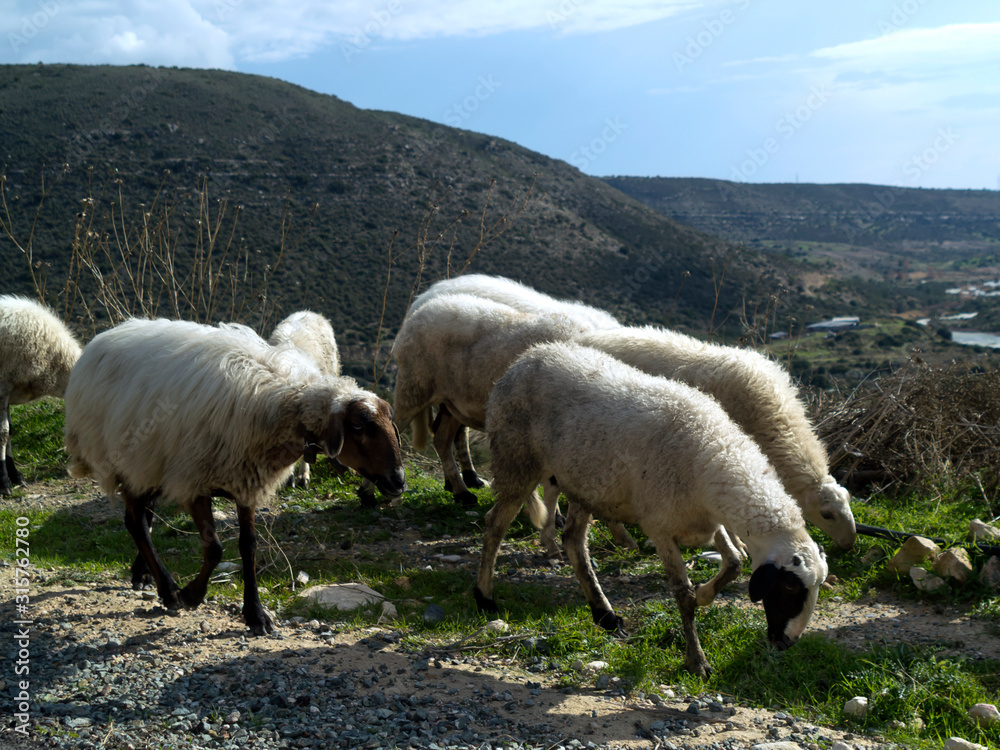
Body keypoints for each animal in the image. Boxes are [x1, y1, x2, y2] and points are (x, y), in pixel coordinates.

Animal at [475, 342, 828, 677]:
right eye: (789, 585)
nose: (787, 642)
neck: (712, 455)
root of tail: (527, 357)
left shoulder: (708, 523)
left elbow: (735, 563)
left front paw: (704, 594)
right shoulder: (661, 528)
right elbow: (683, 595)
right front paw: (697, 660)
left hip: (584, 482)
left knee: (573, 540)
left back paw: (604, 614)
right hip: (516, 459)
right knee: (494, 525)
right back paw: (485, 597)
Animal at [573, 326, 856, 549]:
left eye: (849, 502)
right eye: (827, 514)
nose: (849, 544)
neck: (774, 418)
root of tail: (581, 338)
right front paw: (739, 543)